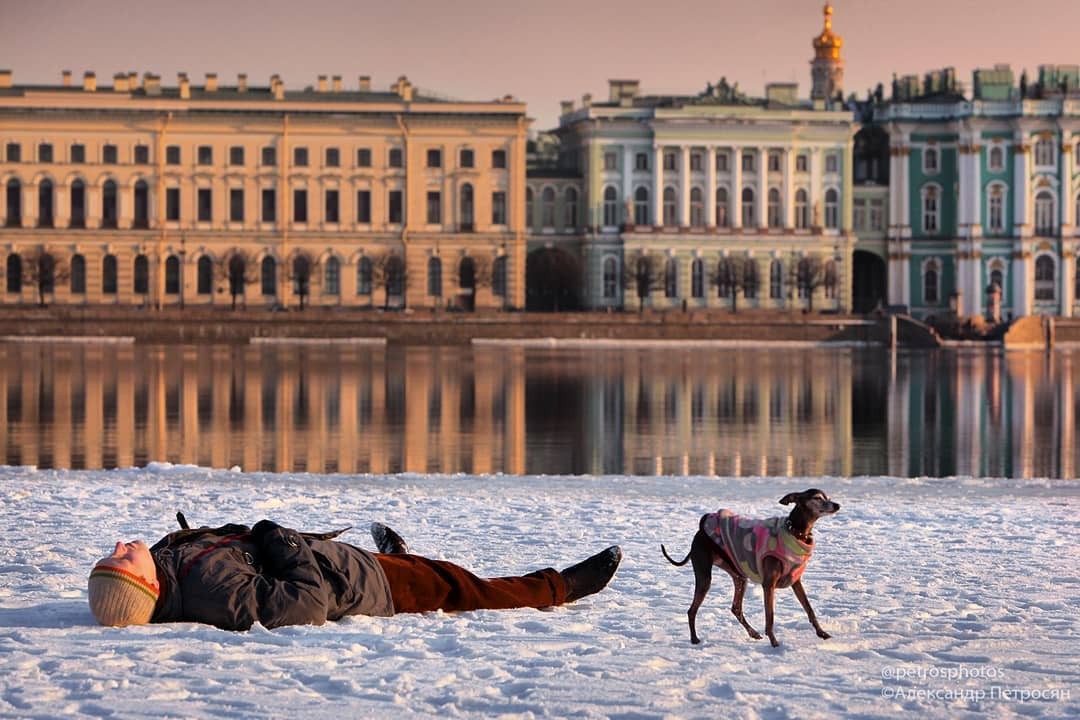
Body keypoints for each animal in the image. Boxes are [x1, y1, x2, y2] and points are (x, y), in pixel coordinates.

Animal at [656, 490, 842, 647]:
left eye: (827, 496)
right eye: (817, 497)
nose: (837, 505)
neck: (795, 532)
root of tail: (699, 532)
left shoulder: (796, 581)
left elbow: (809, 609)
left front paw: (822, 633)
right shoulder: (768, 584)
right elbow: (770, 616)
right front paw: (774, 642)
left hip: (739, 576)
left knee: (736, 608)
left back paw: (753, 633)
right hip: (704, 576)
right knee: (692, 610)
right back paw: (694, 639)